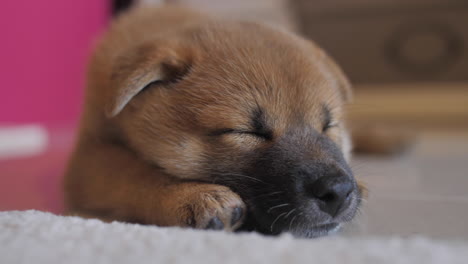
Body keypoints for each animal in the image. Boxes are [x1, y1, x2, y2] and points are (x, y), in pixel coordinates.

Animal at [65, 6, 366, 238]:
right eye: (246, 131)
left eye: (329, 125)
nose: (338, 191)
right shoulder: (88, 158)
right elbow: (132, 172)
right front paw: (195, 196)